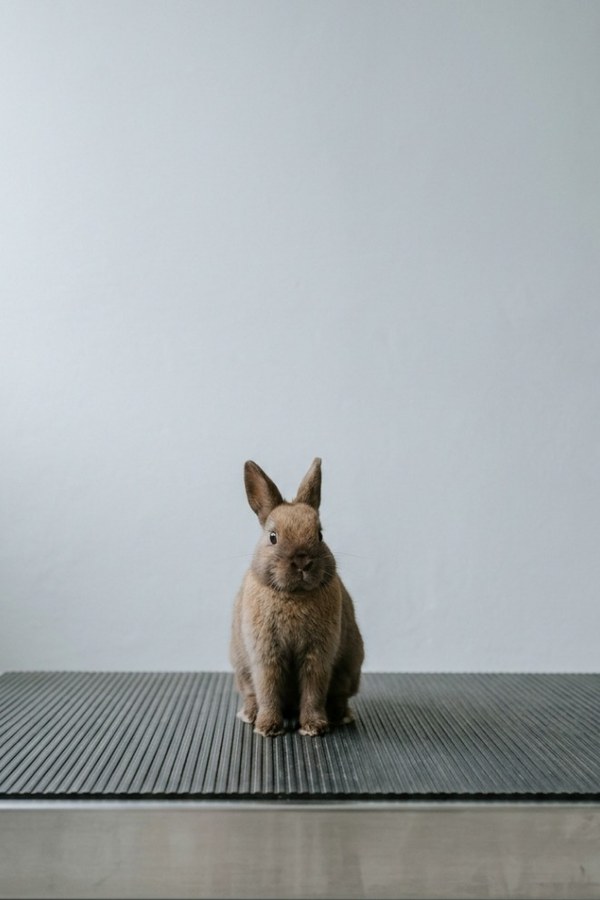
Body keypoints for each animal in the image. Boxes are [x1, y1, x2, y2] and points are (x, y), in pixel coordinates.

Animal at [230, 457, 364, 737]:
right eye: (273, 537)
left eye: (320, 534)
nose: (302, 560)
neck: (294, 595)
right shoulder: (265, 655)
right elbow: (268, 689)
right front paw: (267, 728)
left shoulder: (318, 655)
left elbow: (313, 690)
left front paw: (314, 727)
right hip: (242, 669)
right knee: (251, 694)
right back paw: (249, 715)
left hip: (350, 669)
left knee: (338, 696)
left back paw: (340, 716)